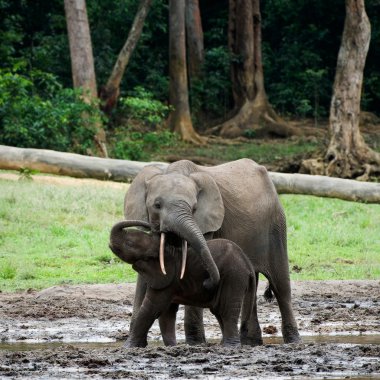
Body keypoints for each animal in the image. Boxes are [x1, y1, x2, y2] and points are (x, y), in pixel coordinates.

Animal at [108, 220, 260, 348]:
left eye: (129, 244)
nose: (153, 226)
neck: (164, 249)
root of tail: (248, 264)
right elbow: (166, 313)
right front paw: (171, 346)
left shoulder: (167, 278)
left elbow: (152, 308)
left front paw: (128, 348)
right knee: (219, 312)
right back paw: (223, 345)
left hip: (234, 277)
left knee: (227, 311)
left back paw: (230, 347)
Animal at [123, 158, 302, 344]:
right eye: (157, 205)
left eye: (194, 208)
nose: (209, 283)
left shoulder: (207, 226)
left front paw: (195, 343)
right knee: (252, 288)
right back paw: (251, 342)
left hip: (276, 226)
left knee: (281, 285)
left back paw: (293, 340)